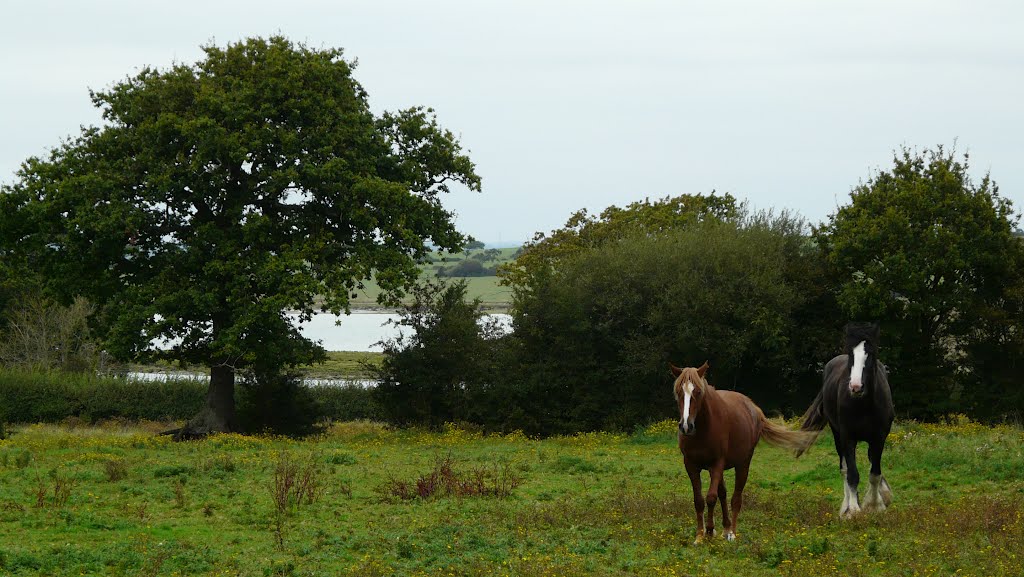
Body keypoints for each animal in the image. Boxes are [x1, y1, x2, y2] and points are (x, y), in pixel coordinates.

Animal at [671, 362, 815, 545]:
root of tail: (753, 407)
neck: (702, 430)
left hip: (742, 464)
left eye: (697, 392)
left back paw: (732, 532)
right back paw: (726, 528)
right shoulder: (690, 464)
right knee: (723, 494)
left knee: (736, 498)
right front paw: (700, 536)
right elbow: (699, 500)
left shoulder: (717, 463)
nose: (686, 426)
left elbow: (711, 498)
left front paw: (710, 531)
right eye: (679, 392)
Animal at [794, 323, 892, 516]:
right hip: (837, 435)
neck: (864, 405)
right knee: (844, 469)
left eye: (871, 353)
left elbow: (875, 473)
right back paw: (846, 507)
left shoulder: (879, 438)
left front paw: (875, 504)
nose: (855, 386)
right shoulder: (848, 438)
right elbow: (852, 474)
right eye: (851, 354)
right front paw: (853, 510)